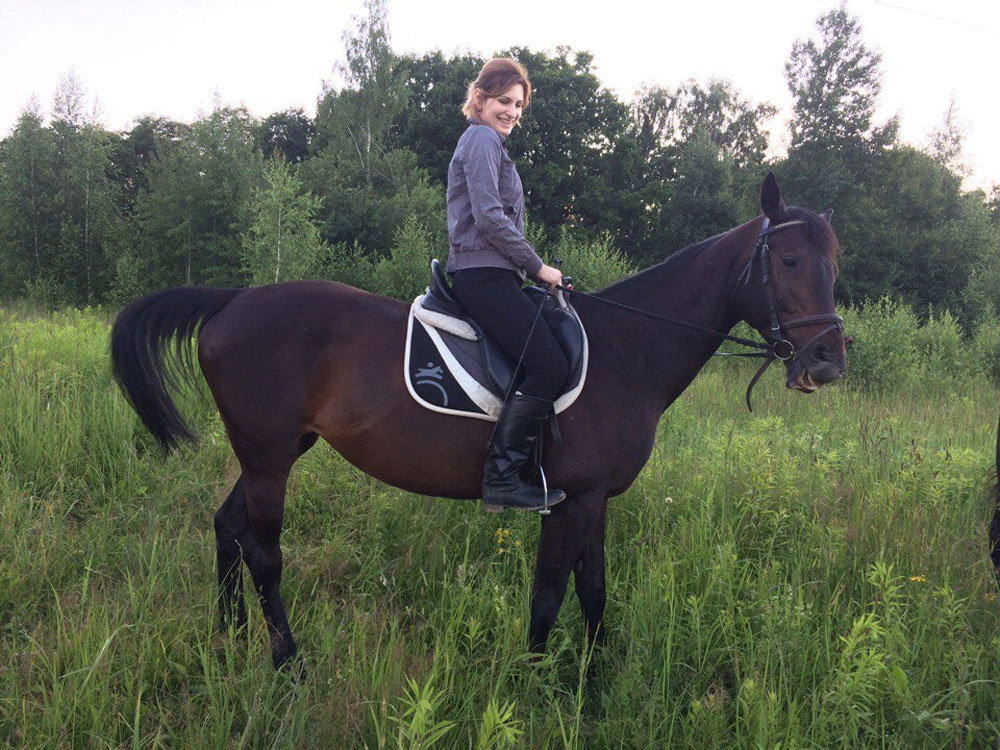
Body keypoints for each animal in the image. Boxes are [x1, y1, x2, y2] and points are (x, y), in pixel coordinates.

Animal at [111, 175, 844, 668]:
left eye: (835, 265)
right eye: (789, 261)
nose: (828, 361)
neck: (626, 350)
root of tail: (233, 301)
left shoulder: (596, 499)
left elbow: (594, 591)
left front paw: (596, 677)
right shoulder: (569, 501)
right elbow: (550, 594)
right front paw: (536, 684)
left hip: (278, 449)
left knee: (227, 526)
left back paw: (232, 636)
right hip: (268, 456)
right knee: (263, 553)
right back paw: (287, 660)